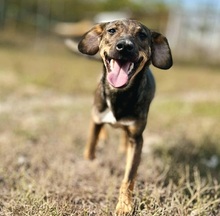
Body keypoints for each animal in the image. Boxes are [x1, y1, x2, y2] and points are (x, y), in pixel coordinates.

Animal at [77, 19, 172, 214]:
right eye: (112, 30)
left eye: (142, 35)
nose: (125, 46)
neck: (119, 95)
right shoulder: (96, 117)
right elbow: (91, 145)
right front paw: (90, 160)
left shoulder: (137, 138)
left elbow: (129, 177)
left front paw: (124, 205)